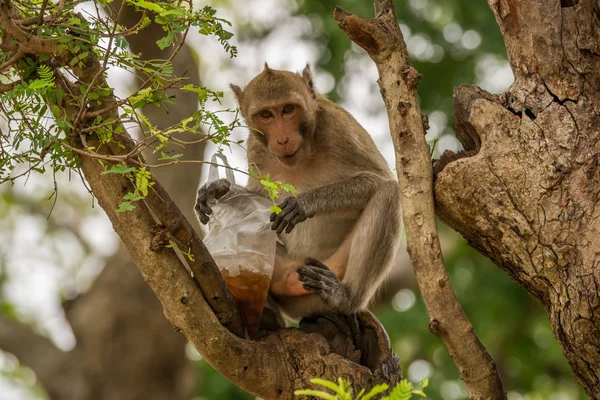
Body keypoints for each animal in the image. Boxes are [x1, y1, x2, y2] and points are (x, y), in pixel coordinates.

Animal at [196, 63, 404, 322]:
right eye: (266, 115)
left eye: (288, 109)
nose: (282, 139)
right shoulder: (255, 147)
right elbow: (258, 200)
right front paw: (217, 190)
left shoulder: (340, 127)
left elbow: (380, 179)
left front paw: (304, 203)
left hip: (330, 270)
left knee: (389, 193)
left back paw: (345, 297)